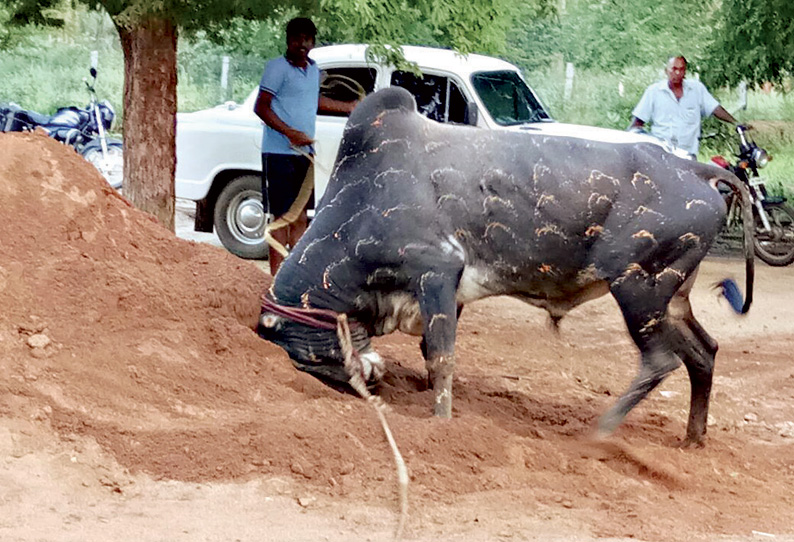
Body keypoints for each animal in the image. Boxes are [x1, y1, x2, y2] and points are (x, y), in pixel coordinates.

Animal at [262, 88, 756, 446]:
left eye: (301, 349)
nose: (355, 386)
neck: (360, 202)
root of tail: (694, 171)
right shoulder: (450, 291)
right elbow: (429, 353)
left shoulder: (435, 271)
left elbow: (442, 355)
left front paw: (441, 422)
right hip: (672, 298)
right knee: (704, 352)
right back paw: (693, 439)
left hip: (639, 288)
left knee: (660, 361)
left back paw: (598, 433)